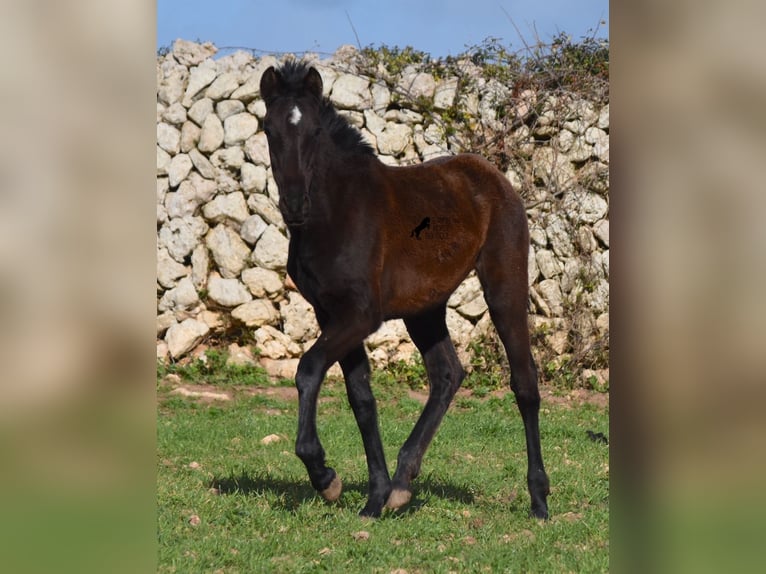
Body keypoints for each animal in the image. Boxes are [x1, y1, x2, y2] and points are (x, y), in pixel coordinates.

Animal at [260, 60, 548, 520]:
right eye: (269, 129)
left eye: (314, 132)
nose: (294, 205)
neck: (335, 213)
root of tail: (493, 176)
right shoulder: (332, 314)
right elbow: (361, 399)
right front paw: (374, 496)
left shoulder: (361, 315)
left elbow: (308, 369)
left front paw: (325, 477)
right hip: (424, 309)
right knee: (447, 374)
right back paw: (400, 485)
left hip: (505, 287)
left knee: (524, 382)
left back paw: (539, 498)